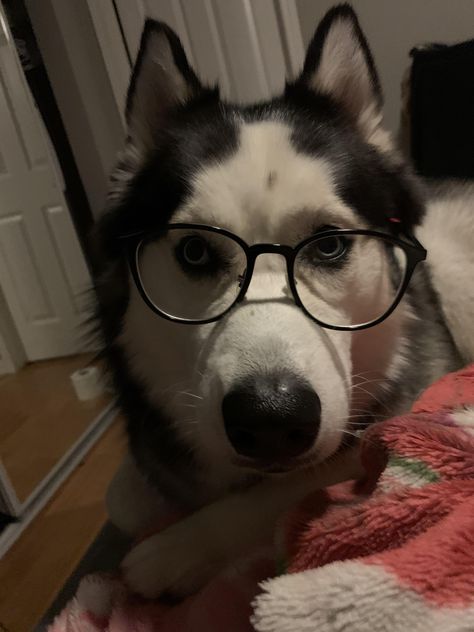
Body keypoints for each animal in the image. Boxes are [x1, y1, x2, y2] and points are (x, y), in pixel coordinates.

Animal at [94, 3, 472, 596]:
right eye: (195, 251)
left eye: (330, 245)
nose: (271, 420)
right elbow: (122, 498)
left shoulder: (398, 414)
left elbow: (284, 488)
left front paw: (173, 551)